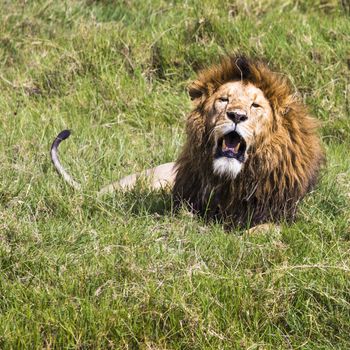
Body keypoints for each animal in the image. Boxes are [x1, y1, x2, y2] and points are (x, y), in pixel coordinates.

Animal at [50, 54, 324, 228]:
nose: (236, 115)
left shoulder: (280, 215)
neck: (231, 181)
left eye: (255, 105)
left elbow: (264, 230)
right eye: (224, 100)